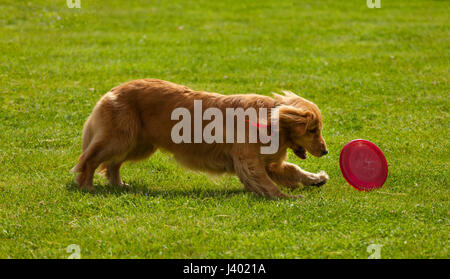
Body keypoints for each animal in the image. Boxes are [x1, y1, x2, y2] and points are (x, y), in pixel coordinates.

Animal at [72, 79, 328, 199]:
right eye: (313, 130)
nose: (326, 152)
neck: (270, 119)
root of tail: (113, 90)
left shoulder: (268, 163)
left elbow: (292, 170)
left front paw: (315, 178)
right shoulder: (249, 161)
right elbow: (267, 184)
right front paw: (289, 197)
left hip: (138, 144)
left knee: (112, 164)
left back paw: (118, 184)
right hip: (120, 139)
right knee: (90, 159)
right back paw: (86, 186)